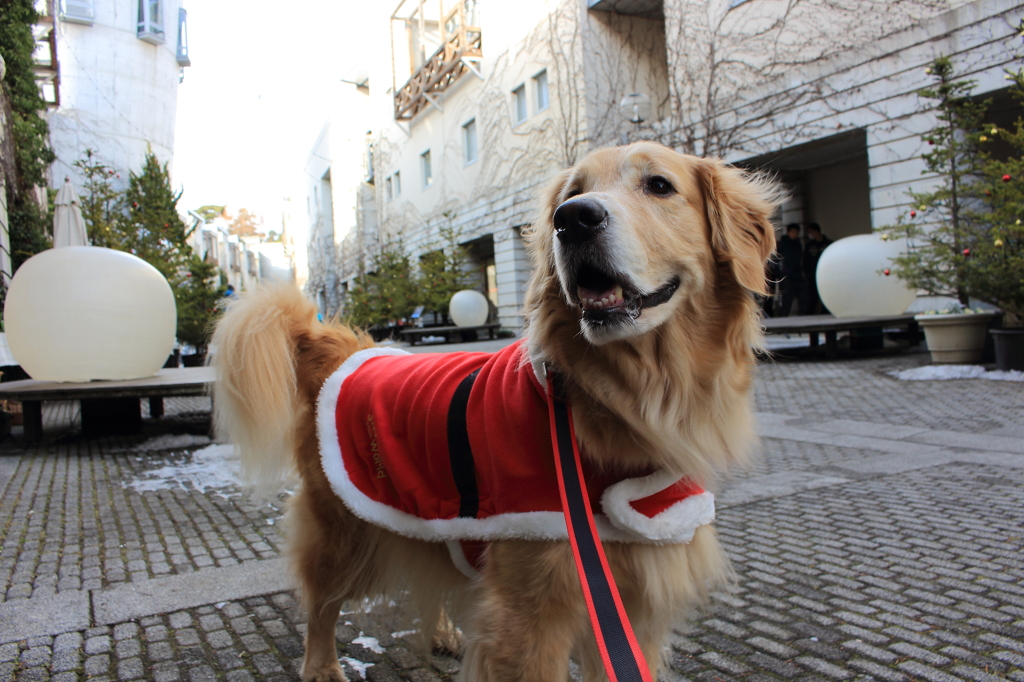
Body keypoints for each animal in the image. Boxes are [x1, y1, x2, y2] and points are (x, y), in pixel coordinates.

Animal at [211, 139, 778, 679]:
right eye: (574, 191)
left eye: (659, 185)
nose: (572, 218)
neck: (618, 397)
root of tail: (341, 348)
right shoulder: (532, 615)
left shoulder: (632, 598)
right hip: (344, 532)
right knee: (321, 604)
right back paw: (322, 665)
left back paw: (442, 632)